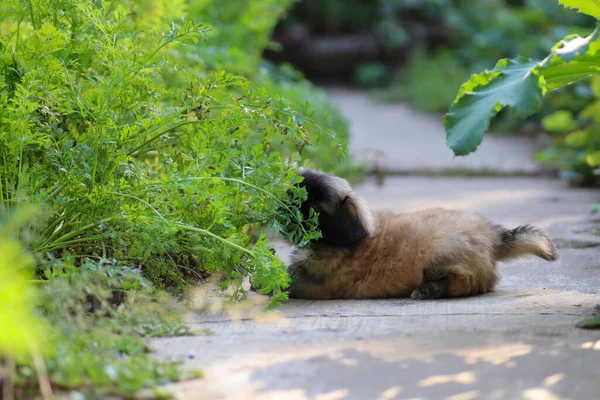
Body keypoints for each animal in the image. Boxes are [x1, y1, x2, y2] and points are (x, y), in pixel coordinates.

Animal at [288, 170, 556, 300]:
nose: (288, 194)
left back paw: (428, 291)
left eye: (315, 205)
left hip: (437, 256)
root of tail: (492, 237)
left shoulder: (313, 282)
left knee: (463, 283)